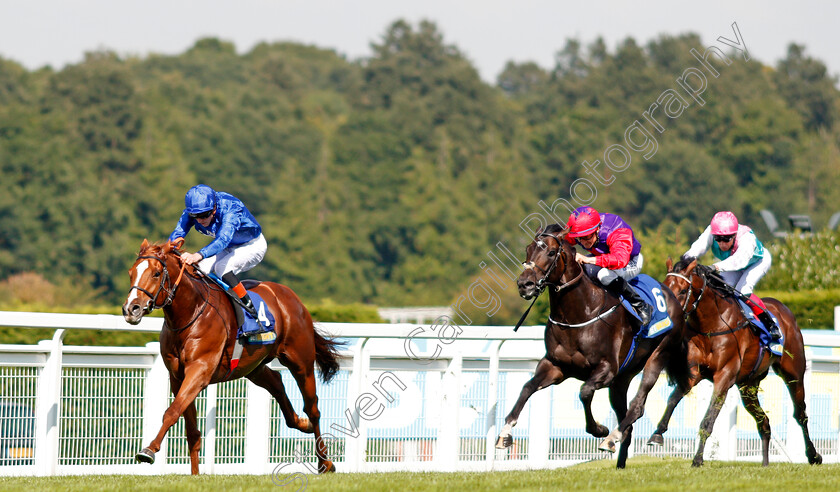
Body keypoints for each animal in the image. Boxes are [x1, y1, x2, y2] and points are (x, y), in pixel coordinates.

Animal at [120, 240, 342, 474]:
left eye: (156, 273)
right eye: (131, 273)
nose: (131, 309)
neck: (191, 312)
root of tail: (291, 296)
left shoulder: (200, 370)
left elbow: (172, 412)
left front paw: (149, 450)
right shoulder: (177, 376)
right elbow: (191, 429)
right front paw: (194, 475)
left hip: (301, 362)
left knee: (313, 408)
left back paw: (325, 461)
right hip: (253, 366)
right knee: (276, 382)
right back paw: (301, 423)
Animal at [496, 225, 684, 468]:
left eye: (551, 252)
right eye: (527, 250)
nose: (524, 284)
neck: (579, 313)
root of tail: (671, 295)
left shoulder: (606, 369)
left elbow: (584, 392)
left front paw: (600, 429)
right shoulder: (555, 366)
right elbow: (527, 387)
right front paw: (505, 433)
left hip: (659, 354)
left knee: (637, 406)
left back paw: (611, 437)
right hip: (622, 379)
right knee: (627, 421)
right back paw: (620, 462)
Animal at [648, 260, 820, 468]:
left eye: (682, 290)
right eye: (664, 286)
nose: (668, 313)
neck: (712, 325)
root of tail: (784, 310)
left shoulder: (724, 377)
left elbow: (708, 420)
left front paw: (698, 459)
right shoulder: (694, 372)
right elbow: (673, 399)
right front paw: (657, 434)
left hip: (793, 373)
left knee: (800, 414)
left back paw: (813, 455)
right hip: (748, 386)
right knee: (764, 422)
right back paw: (765, 463)